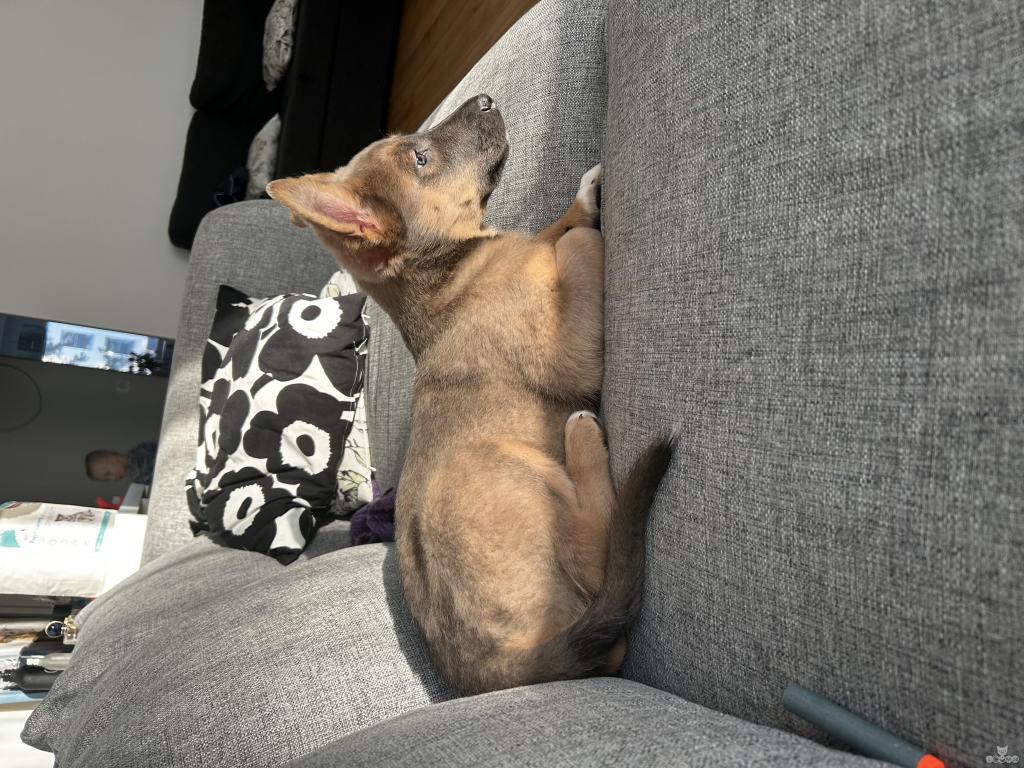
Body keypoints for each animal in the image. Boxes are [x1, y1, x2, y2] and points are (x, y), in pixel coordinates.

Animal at [268, 94, 671, 695]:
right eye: (421, 158)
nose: (485, 99)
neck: (451, 269)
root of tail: (502, 669)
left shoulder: (527, 246)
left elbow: (554, 229)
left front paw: (582, 196)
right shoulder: (573, 346)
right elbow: (574, 242)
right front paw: (581, 224)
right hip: (507, 466)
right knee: (600, 568)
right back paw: (582, 442)